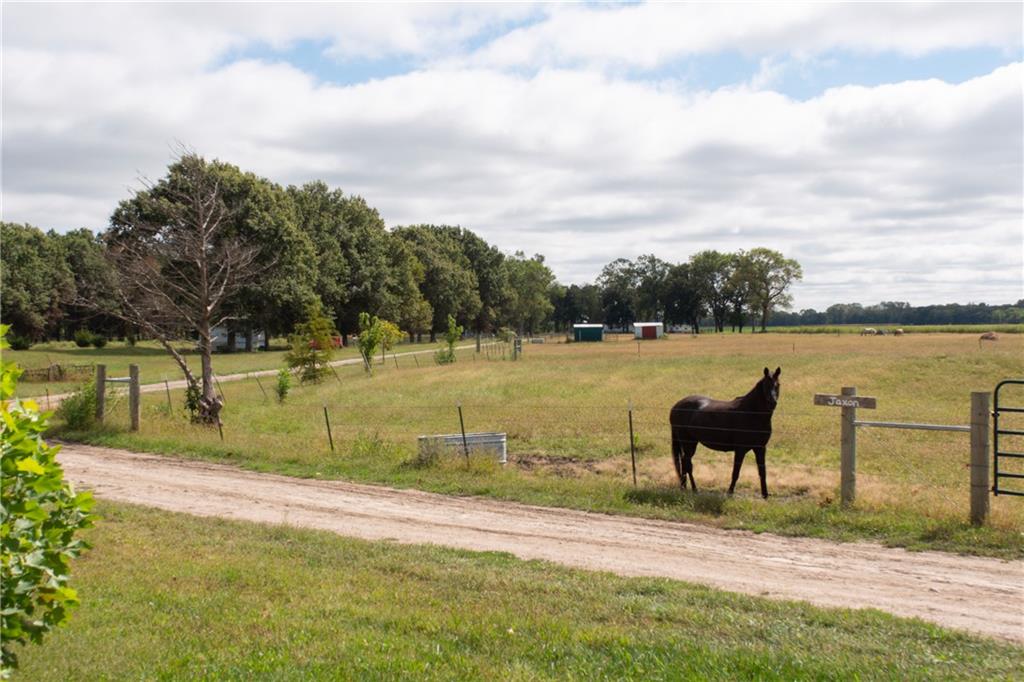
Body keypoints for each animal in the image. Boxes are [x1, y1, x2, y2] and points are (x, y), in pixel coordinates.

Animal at [669, 367, 780, 499]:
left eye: (778, 385)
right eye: (766, 385)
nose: (772, 403)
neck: (751, 413)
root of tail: (676, 406)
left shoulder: (760, 448)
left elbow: (762, 471)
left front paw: (765, 495)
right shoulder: (740, 450)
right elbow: (736, 472)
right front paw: (730, 492)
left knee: (684, 464)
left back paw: (684, 488)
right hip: (688, 443)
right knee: (687, 464)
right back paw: (694, 490)